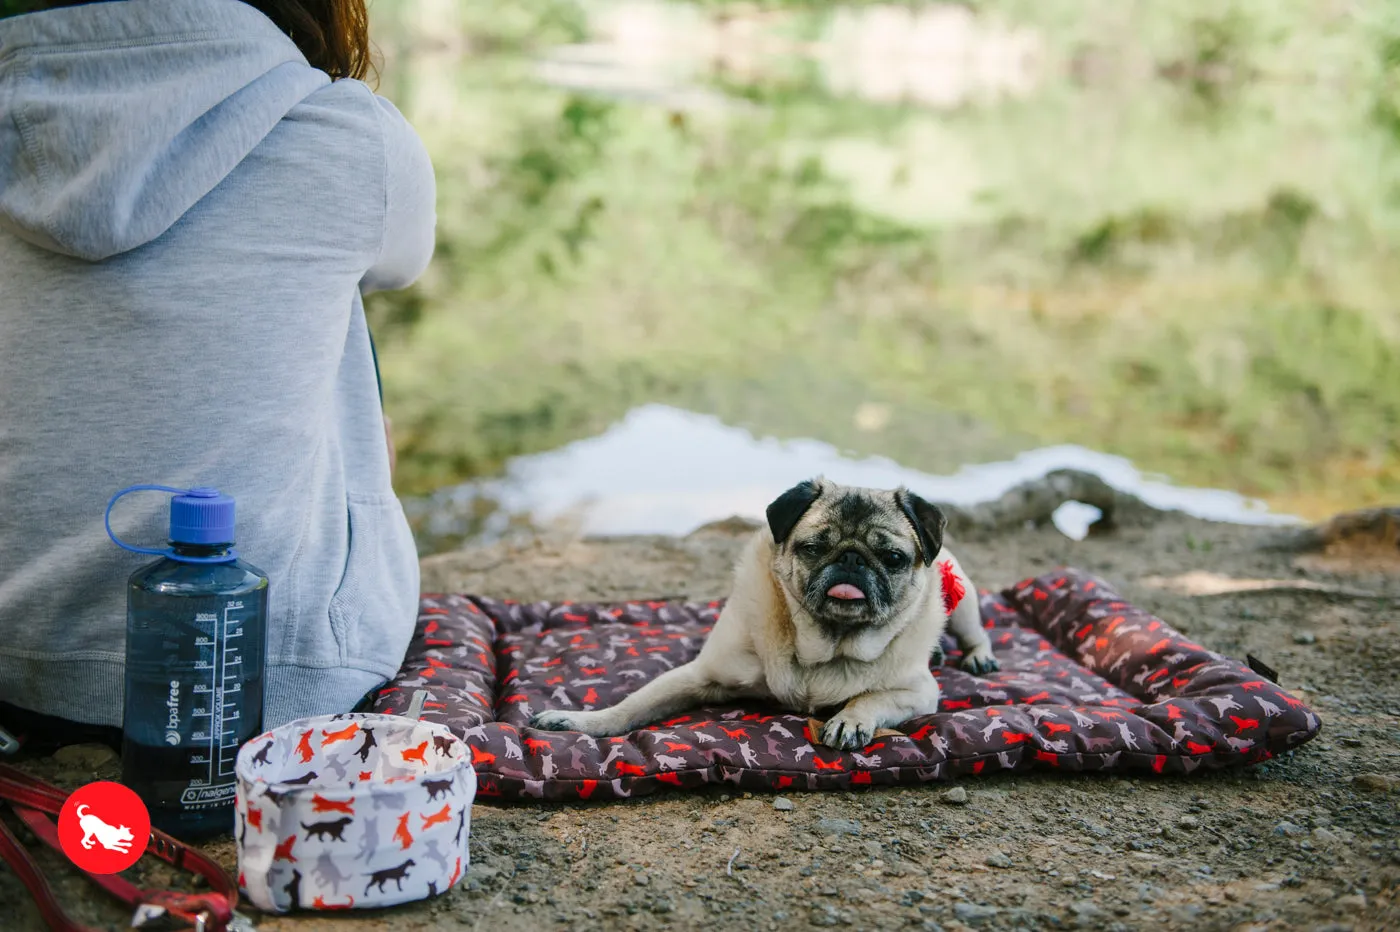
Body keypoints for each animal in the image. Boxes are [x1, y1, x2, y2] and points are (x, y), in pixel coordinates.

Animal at [526, 478, 996, 750]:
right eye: (813, 548)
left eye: (893, 558)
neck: (826, 645)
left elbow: (870, 697)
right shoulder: (699, 676)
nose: (851, 559)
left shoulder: (919, 692)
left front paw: (850, 720)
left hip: (964, 597)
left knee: (975, 631)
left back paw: (978, 656)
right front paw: (581, 721)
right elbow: (629, 707)